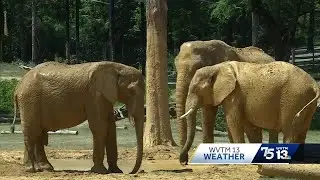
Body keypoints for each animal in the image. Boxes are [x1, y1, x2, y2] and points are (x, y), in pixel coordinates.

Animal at [11, 61, 144, 174]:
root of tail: (18, 87)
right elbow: (99, 127)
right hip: (29, 99)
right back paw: (32, 169)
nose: (131, 172)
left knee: (37, 132)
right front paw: (101, 171)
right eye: (132, 91)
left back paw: (44, 168)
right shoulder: (94, 94)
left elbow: (111, 128)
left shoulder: (104, 96)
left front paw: (117, 171)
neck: (116, 67)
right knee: (32, 131)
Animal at [180, 60, 320, 165]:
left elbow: (233, 121)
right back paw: (298, 161)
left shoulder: (234, 94)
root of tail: (314, 85)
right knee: (303, 130)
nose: (184, 162)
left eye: (195, 89)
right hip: (305, 101)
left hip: (293, 99)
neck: (217, 67)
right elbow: (248, 125)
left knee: (290, 130)